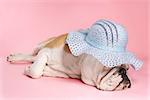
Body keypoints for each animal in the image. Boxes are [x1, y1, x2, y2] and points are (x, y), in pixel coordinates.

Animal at [6, 19, 142, 90]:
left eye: (128, 69)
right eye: (110, 66)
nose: (124, 73)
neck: (79, 61)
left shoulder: (65, 73)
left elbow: (43, 70)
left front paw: (43, 69)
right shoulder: (46, 52)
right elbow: (36, 71)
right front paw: (29, 69)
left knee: (33, 57)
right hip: (42, 44)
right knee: (32, 54)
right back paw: (15, 57)